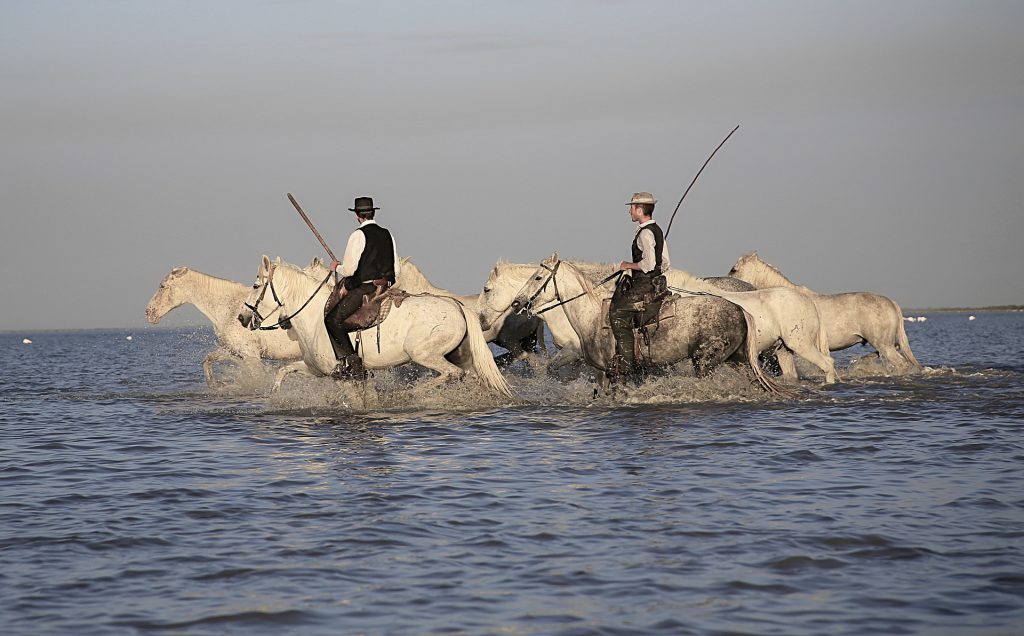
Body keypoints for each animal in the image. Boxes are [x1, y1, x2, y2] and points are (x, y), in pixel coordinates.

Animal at [146, 266, 301, 385]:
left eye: (163, 286)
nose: (149, 312)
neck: (231, 309)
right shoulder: (232, 350)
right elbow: (208, 360)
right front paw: (216, 385)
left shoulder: (251, 355)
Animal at [237, 253, 512, 397]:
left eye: (255, 285)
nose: (242, 318)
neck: (314, 317)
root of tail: (457, 306)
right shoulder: (315, 368)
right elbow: (284, 371)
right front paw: (274, 396)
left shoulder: (344, 377)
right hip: (461, 355)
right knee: (472, 376)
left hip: (425, 354)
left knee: (452, 374)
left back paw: (411, 394)